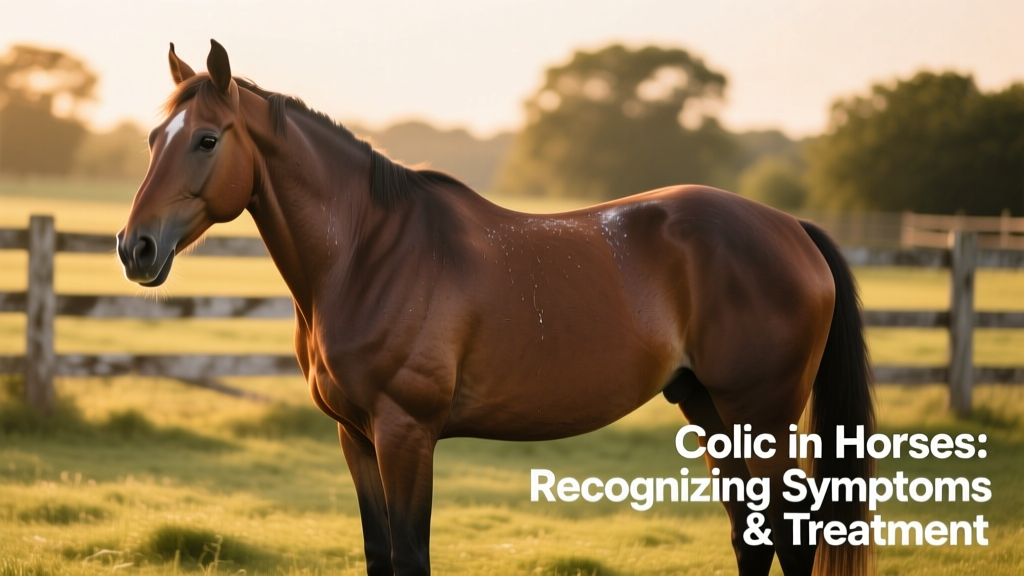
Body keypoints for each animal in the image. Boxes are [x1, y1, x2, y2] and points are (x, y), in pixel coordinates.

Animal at [117, 40, 874, 576]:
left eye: (207, 139)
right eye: (153, 139)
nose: (135, 247)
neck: (367, 253)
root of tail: (791, 227)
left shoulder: (405, 433)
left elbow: (411, 556)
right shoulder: (355, 437)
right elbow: (380, 555)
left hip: (761, 414)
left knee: (792, 535)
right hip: (711, 410)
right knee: (753, 536)